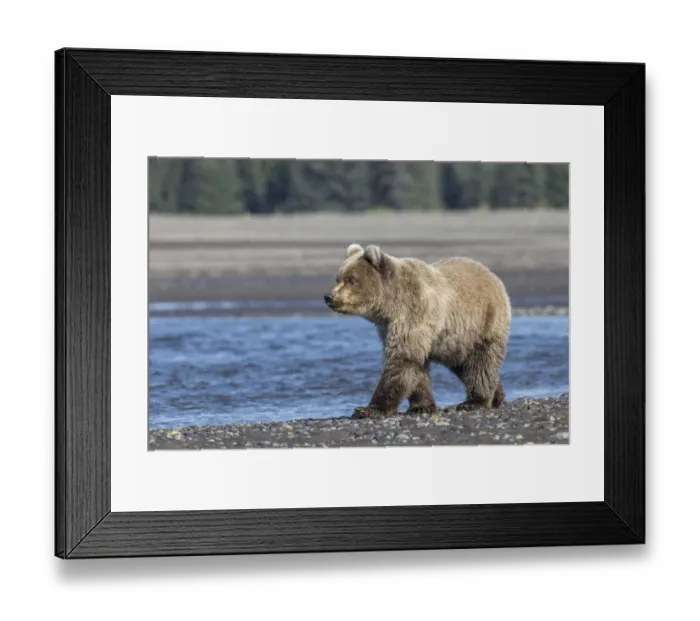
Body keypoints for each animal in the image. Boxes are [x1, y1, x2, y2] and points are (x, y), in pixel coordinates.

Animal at [324, 243, 511, 420]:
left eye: (351, 279)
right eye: (337, 278)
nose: (329, 297)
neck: (389, 305)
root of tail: (492, 275)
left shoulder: (414, 312)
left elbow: (402, 360)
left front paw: (368, 409)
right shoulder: (388, 327)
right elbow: (416, 366)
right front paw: (421, 406)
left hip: (482, 323)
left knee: (480, 361)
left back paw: (475, 401)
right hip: (452, 341)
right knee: (463, 364)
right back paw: (497, 396)